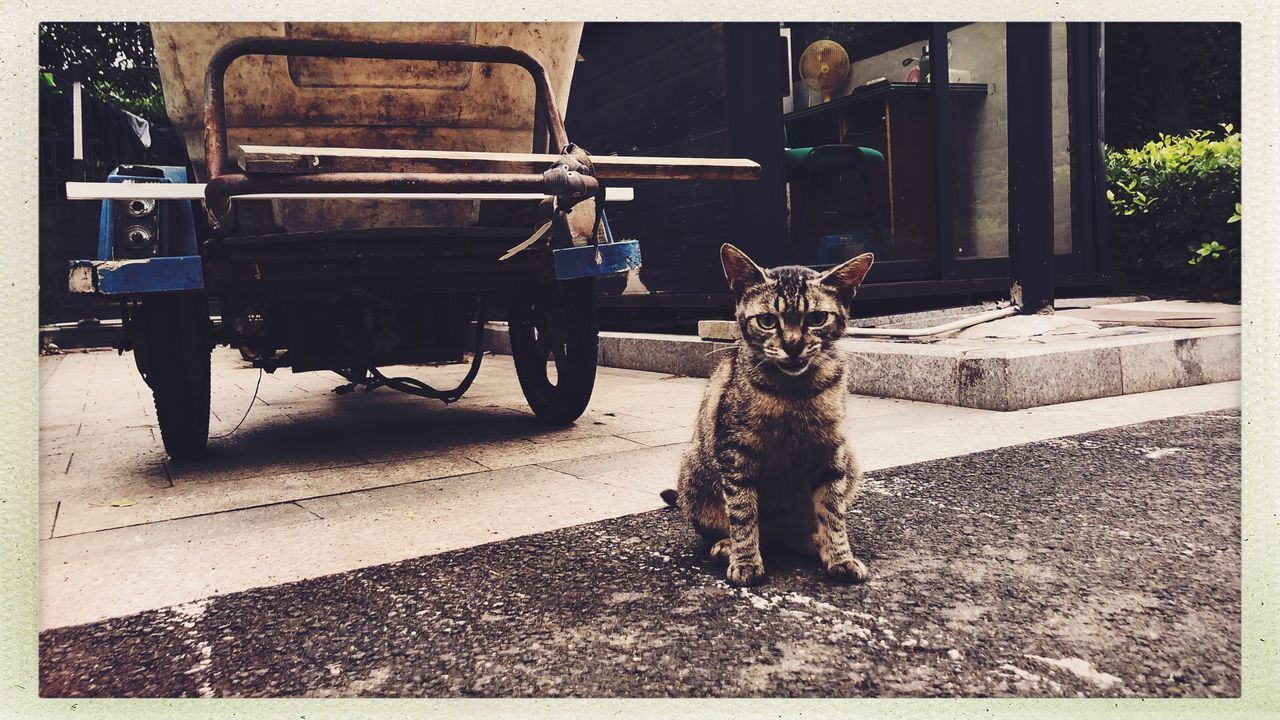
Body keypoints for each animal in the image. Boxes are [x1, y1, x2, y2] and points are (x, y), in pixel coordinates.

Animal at [665, 243, 875, 586]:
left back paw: (812, 541)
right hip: (693, 471)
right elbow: (742, 512)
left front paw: (840, 556)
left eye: (817, 318)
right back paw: (727, 546)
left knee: (795, 532)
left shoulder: (831, 453)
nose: (793, 345)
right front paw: (746, 560)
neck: (794, 394)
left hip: (850, 461)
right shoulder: (735, 454)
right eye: (766, 320)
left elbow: (832, 512)